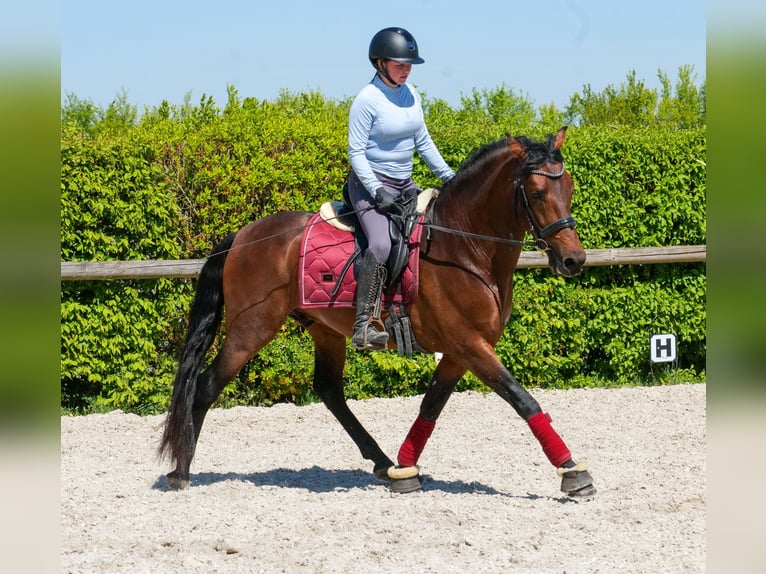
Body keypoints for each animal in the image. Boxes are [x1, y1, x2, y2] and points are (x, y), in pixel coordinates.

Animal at [158, 126, 596, 497]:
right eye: (536, 192)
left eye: (569, 187)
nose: (573, 260)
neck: (464, 247)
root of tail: (243, 236)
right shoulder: (470, 345)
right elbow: (523, 400)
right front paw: (572, 473)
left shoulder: (460, 351)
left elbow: (430, 406)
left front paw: (405, 468)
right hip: (251, 329)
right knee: (206, 385)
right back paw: (181, 471)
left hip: (325, 330)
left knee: (330, 392)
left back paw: (383, 463)